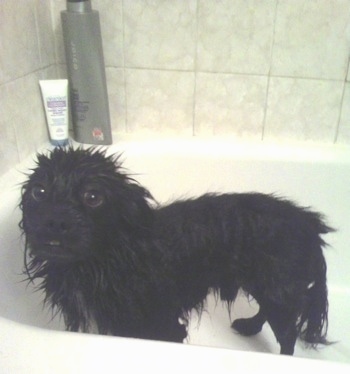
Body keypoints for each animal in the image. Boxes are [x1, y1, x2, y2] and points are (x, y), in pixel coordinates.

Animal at [19, 146, 334, 354]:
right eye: (39, 191)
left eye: (93, 196)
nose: (54, 222)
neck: (107, 260)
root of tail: (309, 223)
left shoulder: (162, 325)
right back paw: (249, 326)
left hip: (277, 287)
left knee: (288, 333)